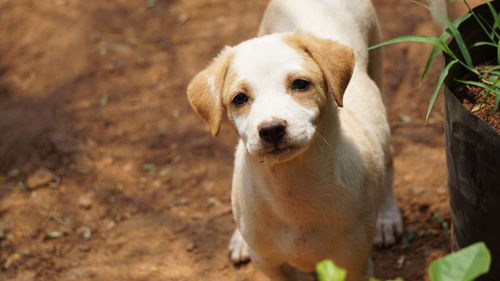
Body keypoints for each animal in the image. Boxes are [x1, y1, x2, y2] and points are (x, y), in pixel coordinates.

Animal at [187, 0, 402, 280]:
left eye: (300, 84)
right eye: (239, 98)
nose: (271, 130)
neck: (293, 189)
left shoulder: (354, 264)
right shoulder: (271, 264)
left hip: (377, 66)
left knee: (389, 158)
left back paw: (387, 218)